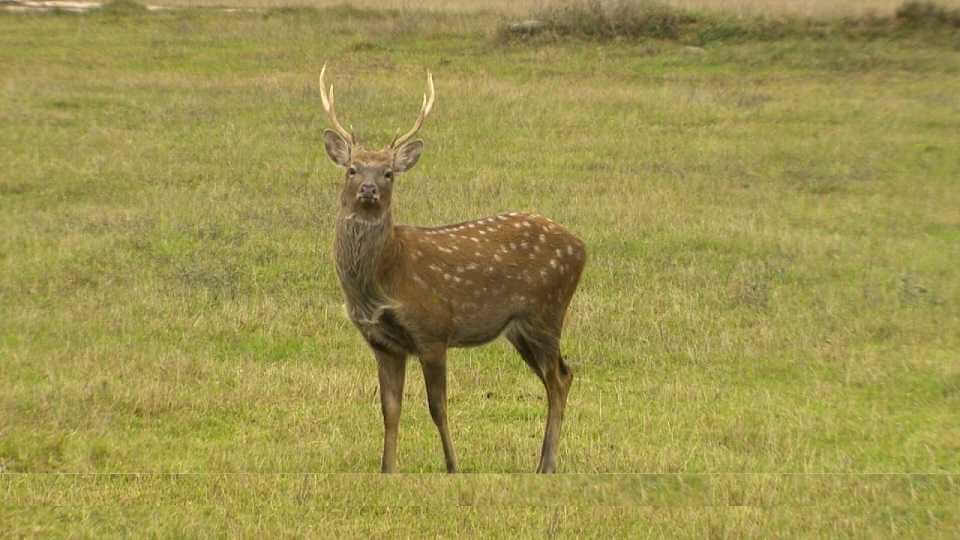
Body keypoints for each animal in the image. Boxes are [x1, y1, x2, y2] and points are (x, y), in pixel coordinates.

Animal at [318, 64, 584, 472]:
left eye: (389, 173)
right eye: (352, 168)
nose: (368, 189)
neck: (383, 282)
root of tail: (582, 247)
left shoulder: (433, 330)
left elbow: (437, 408)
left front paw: (453, 467)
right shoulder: (382, 343)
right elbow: (389, 410)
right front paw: (387, 469)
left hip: (547, 312)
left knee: (559, 379)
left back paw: (547, 464)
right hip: (521, 327)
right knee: (562, 375)